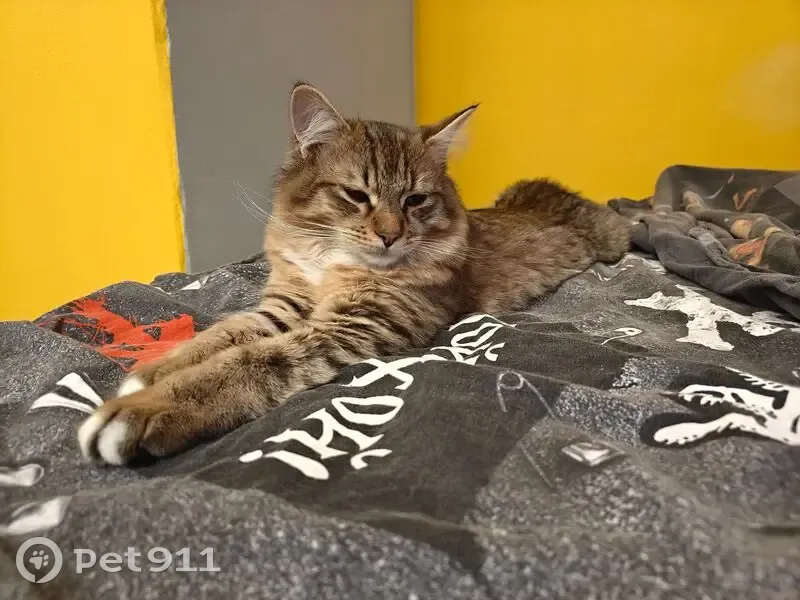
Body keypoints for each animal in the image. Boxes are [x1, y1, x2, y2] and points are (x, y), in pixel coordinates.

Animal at [78, 82, 631, 465]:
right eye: (356, 195)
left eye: (415, 200)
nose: (390, 235)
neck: (330, 261)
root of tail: (547, 190)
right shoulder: (287, 301)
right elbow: (220, 337)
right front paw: (150, 373)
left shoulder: (351, 322)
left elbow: (248, 361)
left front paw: (145, 408)